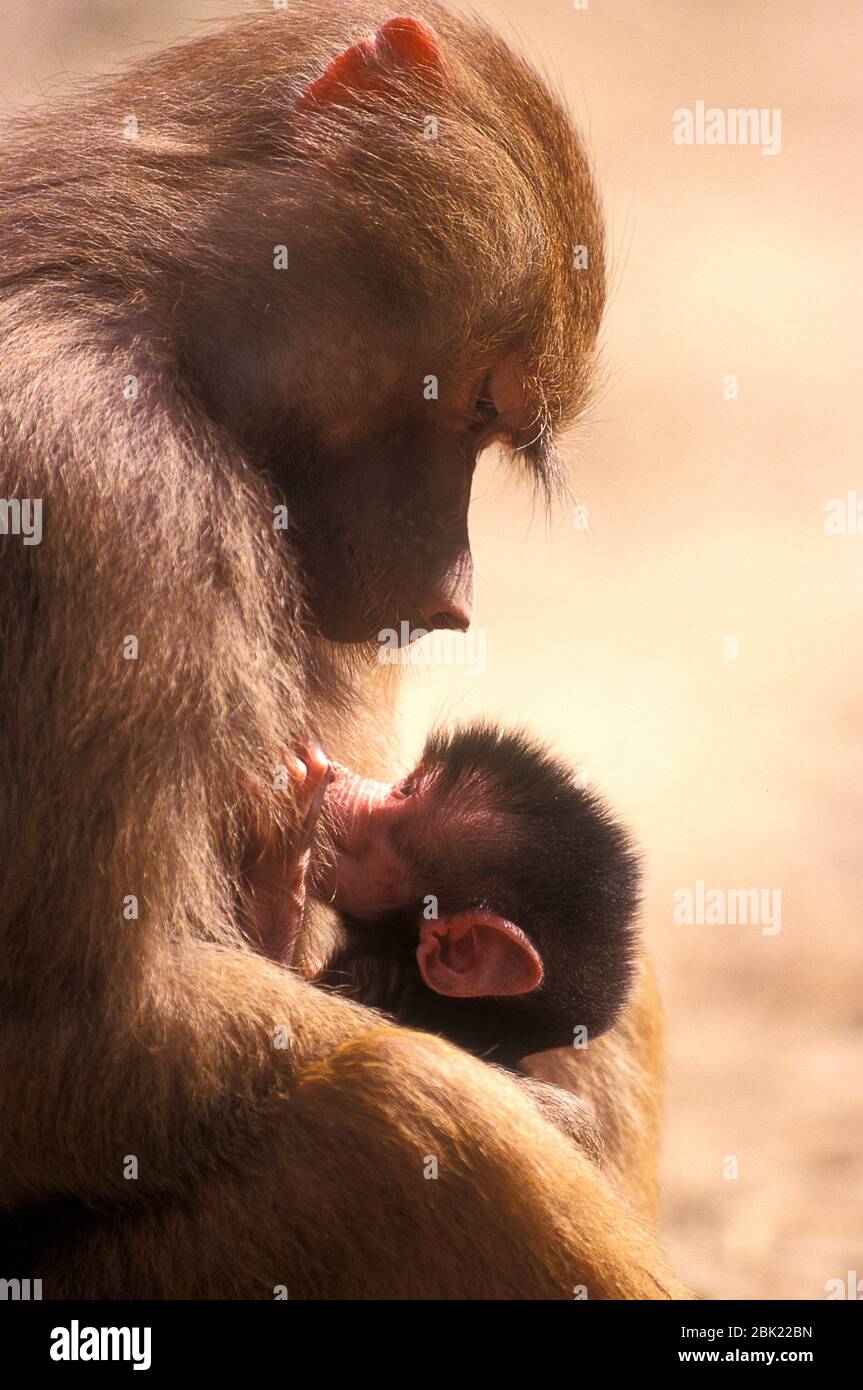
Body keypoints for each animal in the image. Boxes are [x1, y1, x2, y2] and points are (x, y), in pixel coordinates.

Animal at [0, 2, 687, 1298]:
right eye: (477, 404)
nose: (447, 599)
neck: (128, 298)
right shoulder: (89, 470)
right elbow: (78, 1032)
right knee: (404, 1107)